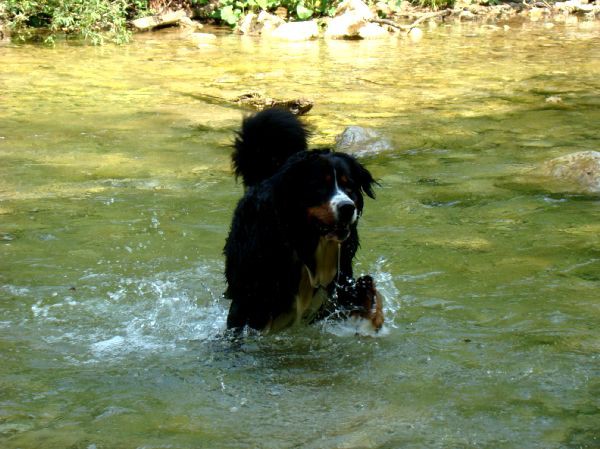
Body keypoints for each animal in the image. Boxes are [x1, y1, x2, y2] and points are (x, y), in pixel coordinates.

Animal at [225, 107, 384, 332]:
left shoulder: (339, 287)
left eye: (349, 186)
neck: (305, 242)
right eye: (320, 187)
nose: (347, 208)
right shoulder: (251, 301)